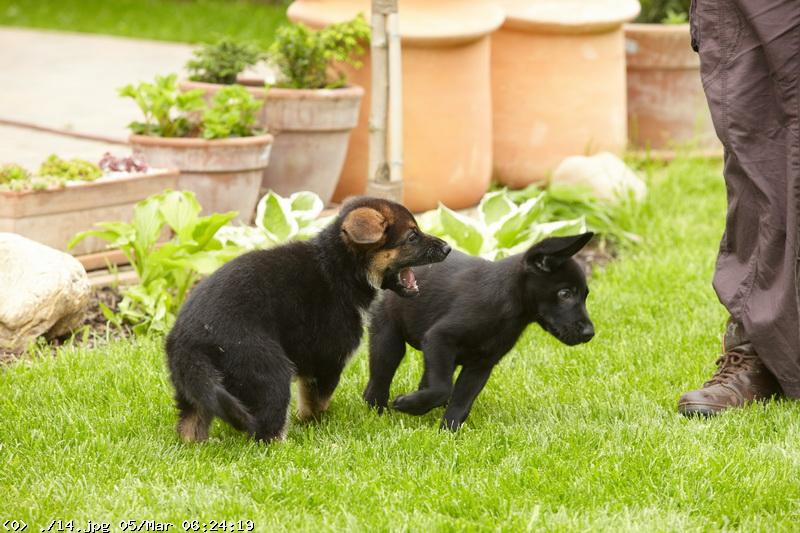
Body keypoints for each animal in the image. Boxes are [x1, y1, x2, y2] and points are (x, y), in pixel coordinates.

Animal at [165, 197, 451, 442]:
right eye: (412, 236)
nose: (448, 248)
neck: (341, 267)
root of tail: (189, 341)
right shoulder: (328, 358)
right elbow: (318, 399)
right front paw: (314, 423)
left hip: (194, 385)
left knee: (191, 423)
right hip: (268, 369)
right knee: (265, 429)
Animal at [363, 232, 595, 430]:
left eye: (585, 295)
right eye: (565, 293)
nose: (589, 333)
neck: (508, 302)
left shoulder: (481, 365)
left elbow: (460, 403)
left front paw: (447, 433)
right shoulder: (439, 338)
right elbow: (442, 389)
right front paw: (407, 404)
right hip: (389, 341)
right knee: (378, 382)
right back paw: (378, 412)